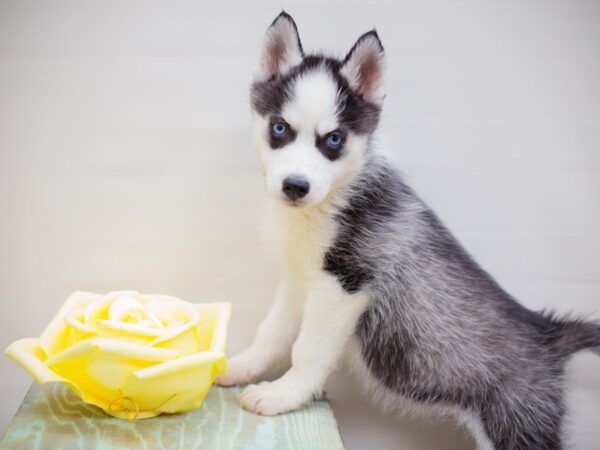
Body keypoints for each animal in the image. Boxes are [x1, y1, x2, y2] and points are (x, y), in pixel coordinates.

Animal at [216, 11, 600, 450]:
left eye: (334, 140)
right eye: (280, 129)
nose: (295, 186)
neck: (330, 202)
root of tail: (549, 333)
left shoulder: (343, 287)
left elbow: (309, 348)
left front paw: (284, 394)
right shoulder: (301, 279)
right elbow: (273, 332)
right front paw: (242, 366)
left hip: (515, 424)